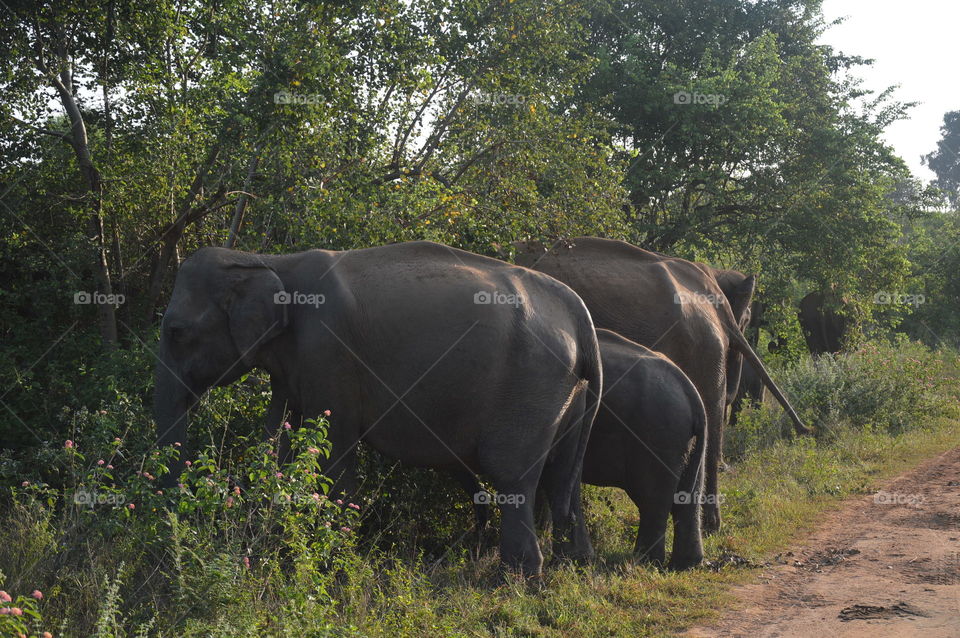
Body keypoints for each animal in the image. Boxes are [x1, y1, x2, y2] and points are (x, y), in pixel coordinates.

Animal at [153, 241, 603, 575]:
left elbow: (332, 450)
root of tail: (580, 314)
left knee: (512, 474)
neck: (267, 261)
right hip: (568, 394)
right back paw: (572, 563)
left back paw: (516, 578)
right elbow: (284, 438)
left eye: (175, 331)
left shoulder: (328, 352)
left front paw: (332, 558)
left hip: (530, 382)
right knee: (562, 474)